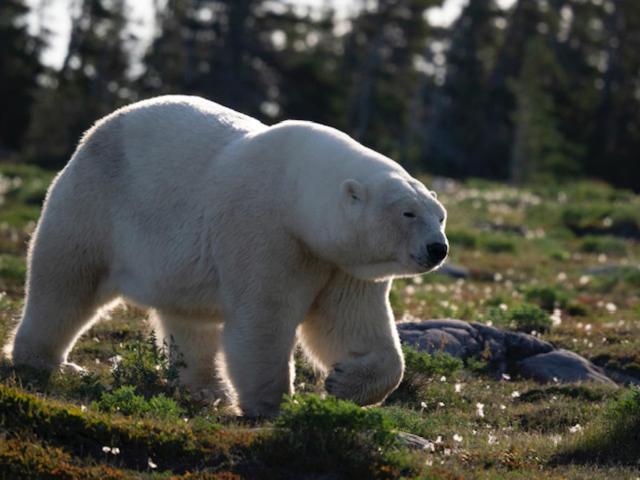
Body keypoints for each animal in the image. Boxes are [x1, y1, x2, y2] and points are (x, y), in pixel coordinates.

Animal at [5, 95, 448, 417]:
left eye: (439, 214)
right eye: (408, 213)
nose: (438, 248)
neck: (295, 192)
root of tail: (95, 131)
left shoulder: (338, 262)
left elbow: (352, 324)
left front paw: (342, 381)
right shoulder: (265, 231)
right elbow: (263, 320)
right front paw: (272, 405)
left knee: (187, 322)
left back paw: (207, 389)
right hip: (94, 204)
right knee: (66, 282)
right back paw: (45, 361)